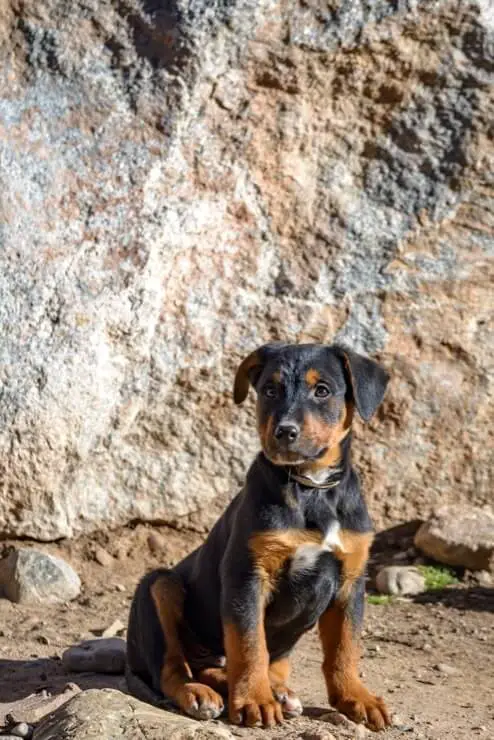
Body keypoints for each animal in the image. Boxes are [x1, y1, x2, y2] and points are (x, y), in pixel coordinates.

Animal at [127, 344, 394, 732]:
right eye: (270, 390)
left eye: (323, 391)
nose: (284, 432)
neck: (309, 488)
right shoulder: (247, 575)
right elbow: (249, 643)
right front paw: (254, 700)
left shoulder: (351, 581)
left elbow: (345, 648)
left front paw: (357, 698)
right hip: (158, 586)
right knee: (173, 667)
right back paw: (200, 694)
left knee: (257, 664)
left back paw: (276, 691)